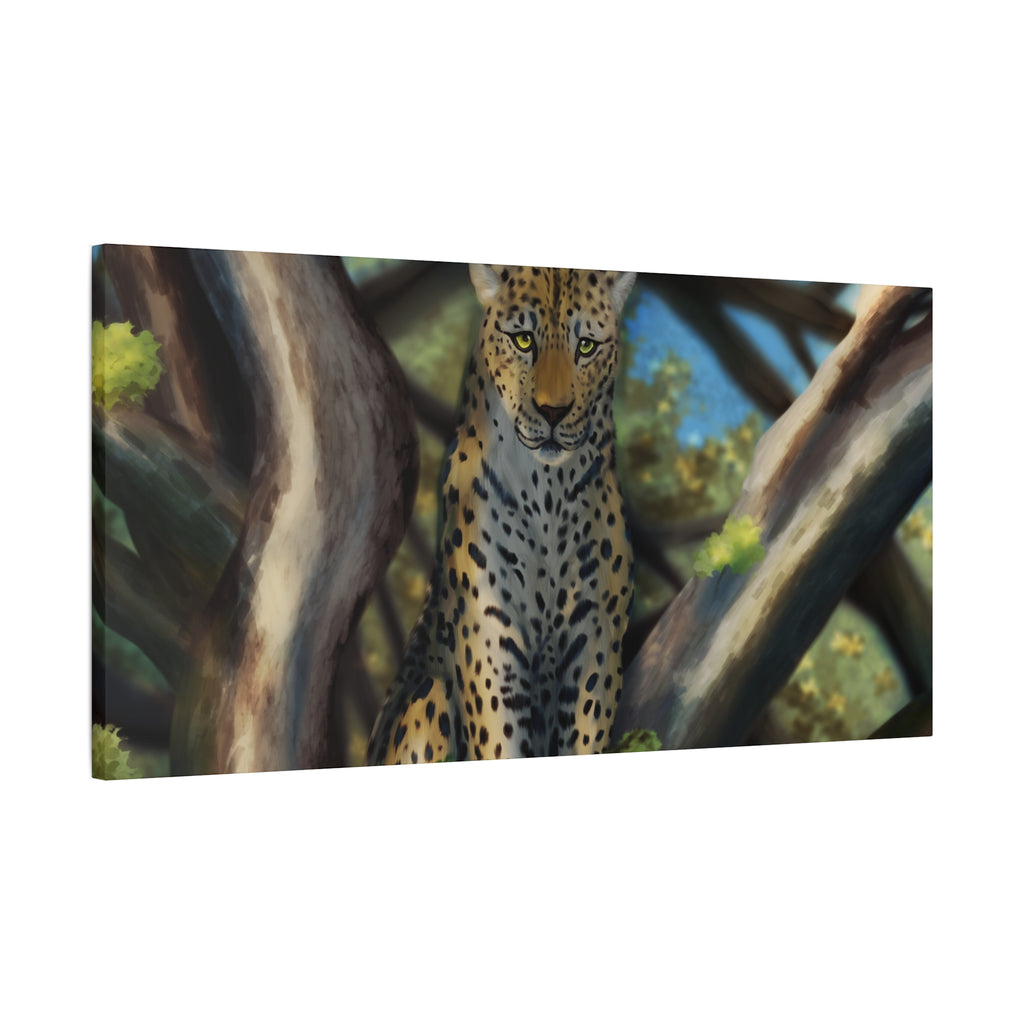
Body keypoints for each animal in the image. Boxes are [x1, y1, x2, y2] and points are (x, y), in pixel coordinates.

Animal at [367, 264, 636, 765]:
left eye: (586, 346)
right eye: (523, 340)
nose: (554, 412)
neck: (548, 491)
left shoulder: (595, 640)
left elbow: (585, 735)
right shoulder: (490, 639)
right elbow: (499, 739)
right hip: (428, 699)